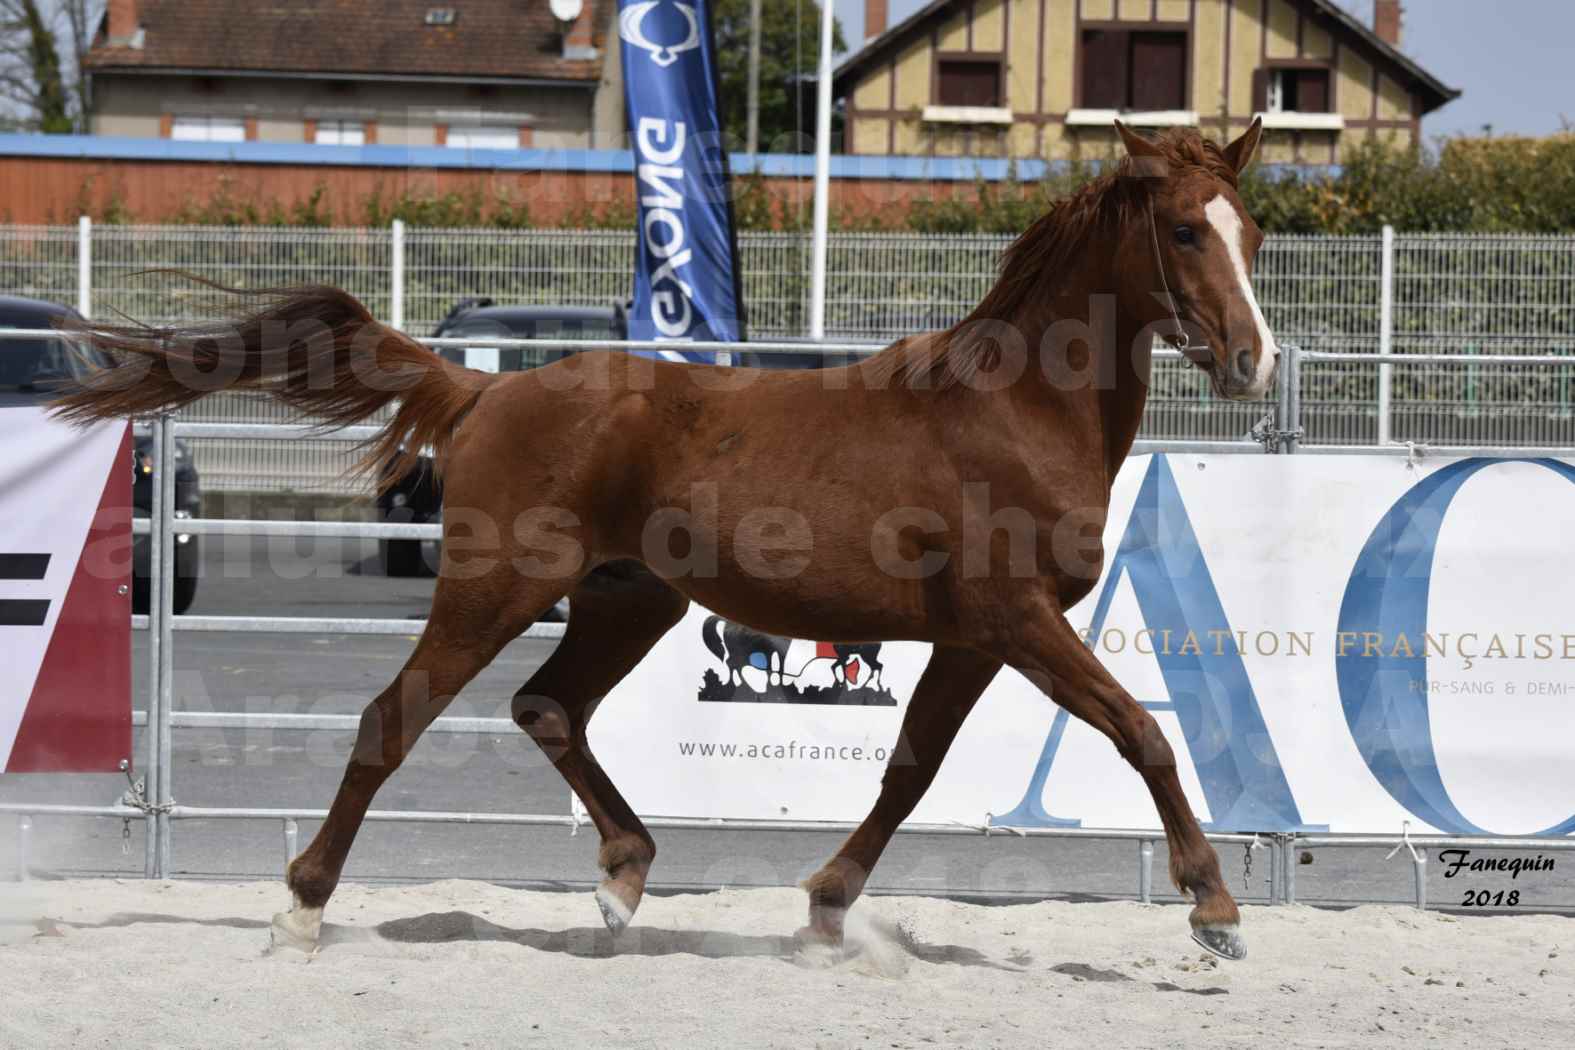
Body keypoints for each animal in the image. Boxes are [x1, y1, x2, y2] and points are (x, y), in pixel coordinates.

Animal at [58, 121, 1278, 963]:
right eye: (1182, 230)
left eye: (1253, 231)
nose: (1254, 362)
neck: (1010, 410)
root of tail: (478, 390)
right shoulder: (1015, 621)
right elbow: (1143, 735)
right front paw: (1214, 909)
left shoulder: (972, 640)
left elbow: (908, 771)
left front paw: (825, 912)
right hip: (496, 589)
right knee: (391, 719)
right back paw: (302, 911)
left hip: (627, 598)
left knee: (548, 706)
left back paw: (623, 879)